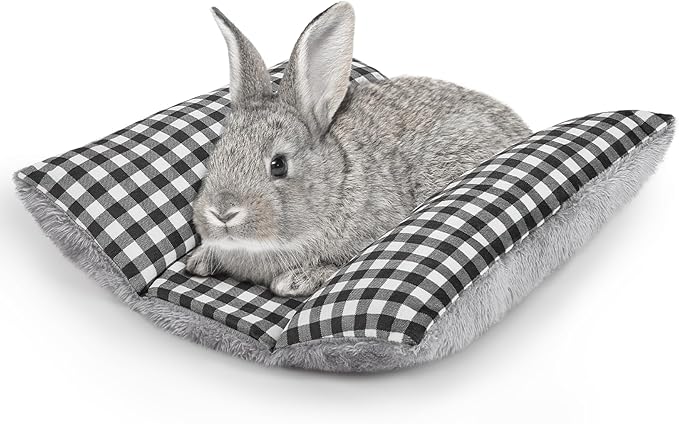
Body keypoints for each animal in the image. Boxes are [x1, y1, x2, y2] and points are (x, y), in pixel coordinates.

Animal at [186, 2, 531, 297]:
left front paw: (296, 280)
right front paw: (200, 259)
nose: (223, 212)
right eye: (214, 157)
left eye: (278, 165)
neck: (336, 182)